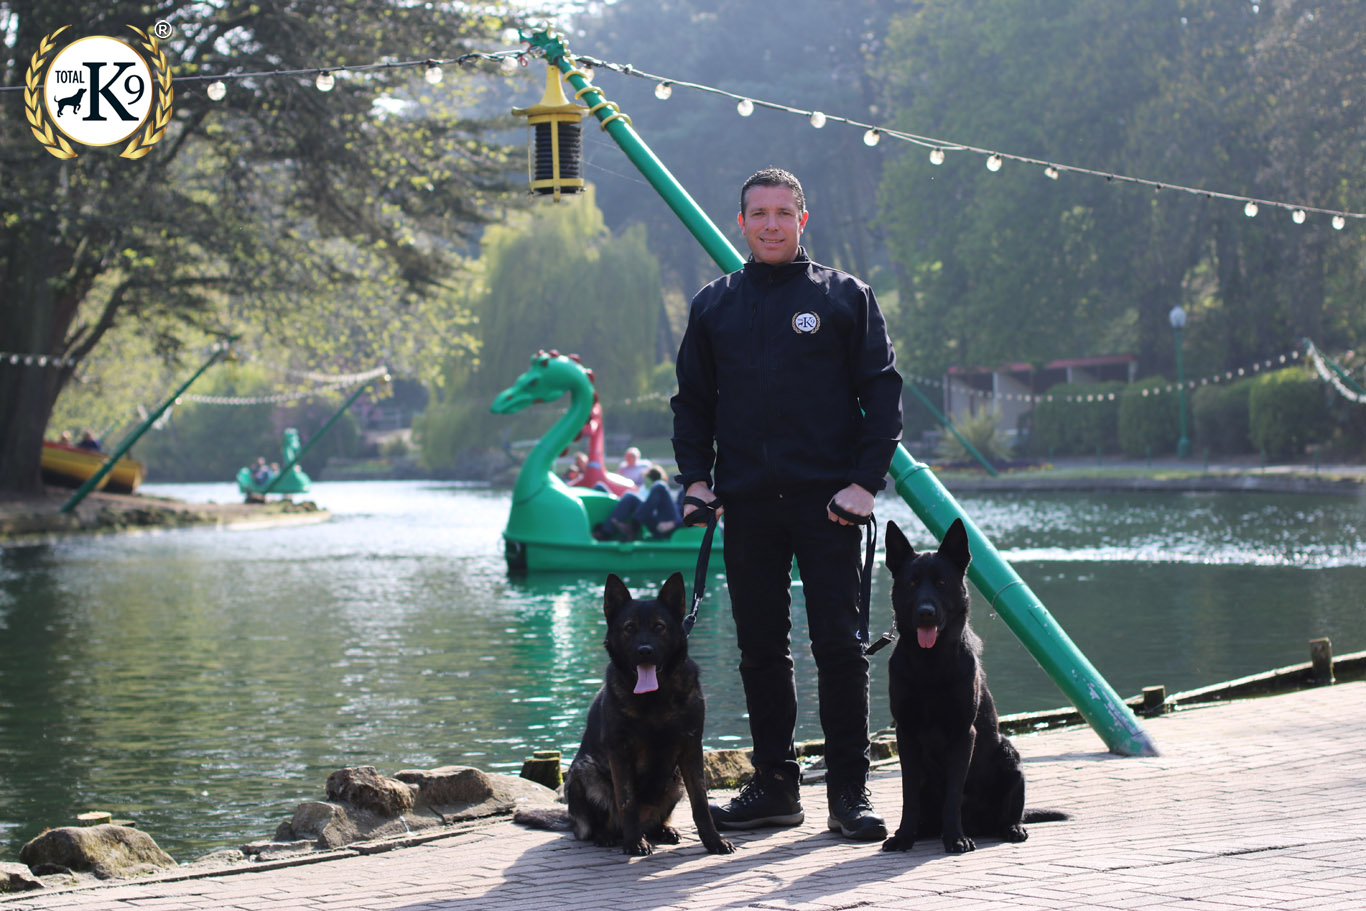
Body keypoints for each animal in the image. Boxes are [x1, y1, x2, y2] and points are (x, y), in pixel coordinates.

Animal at [513, 576, 732, 857]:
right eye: (629, 628)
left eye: (659, 627)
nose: (644, 650)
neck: (655, 698)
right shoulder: (620, 752)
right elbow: (626, 801)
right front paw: (634, 842)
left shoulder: (692, 748)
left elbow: (701, 802)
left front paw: (713, 840)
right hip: (585, 773)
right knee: (595, 826)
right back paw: (608, 836)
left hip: (676, 781)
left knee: (655, 821)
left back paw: (663, 830)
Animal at [879, 519, 1060, 857]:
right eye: (911, 584)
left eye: (941, 582)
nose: (925, 612)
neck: (930, 666)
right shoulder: (905, 734)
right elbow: (909, 794)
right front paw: (903, 836)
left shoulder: (964, 734)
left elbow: (953, 794)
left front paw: (955, 838)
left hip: (1009, 756)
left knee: (1011, 812)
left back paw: (1010, 828)